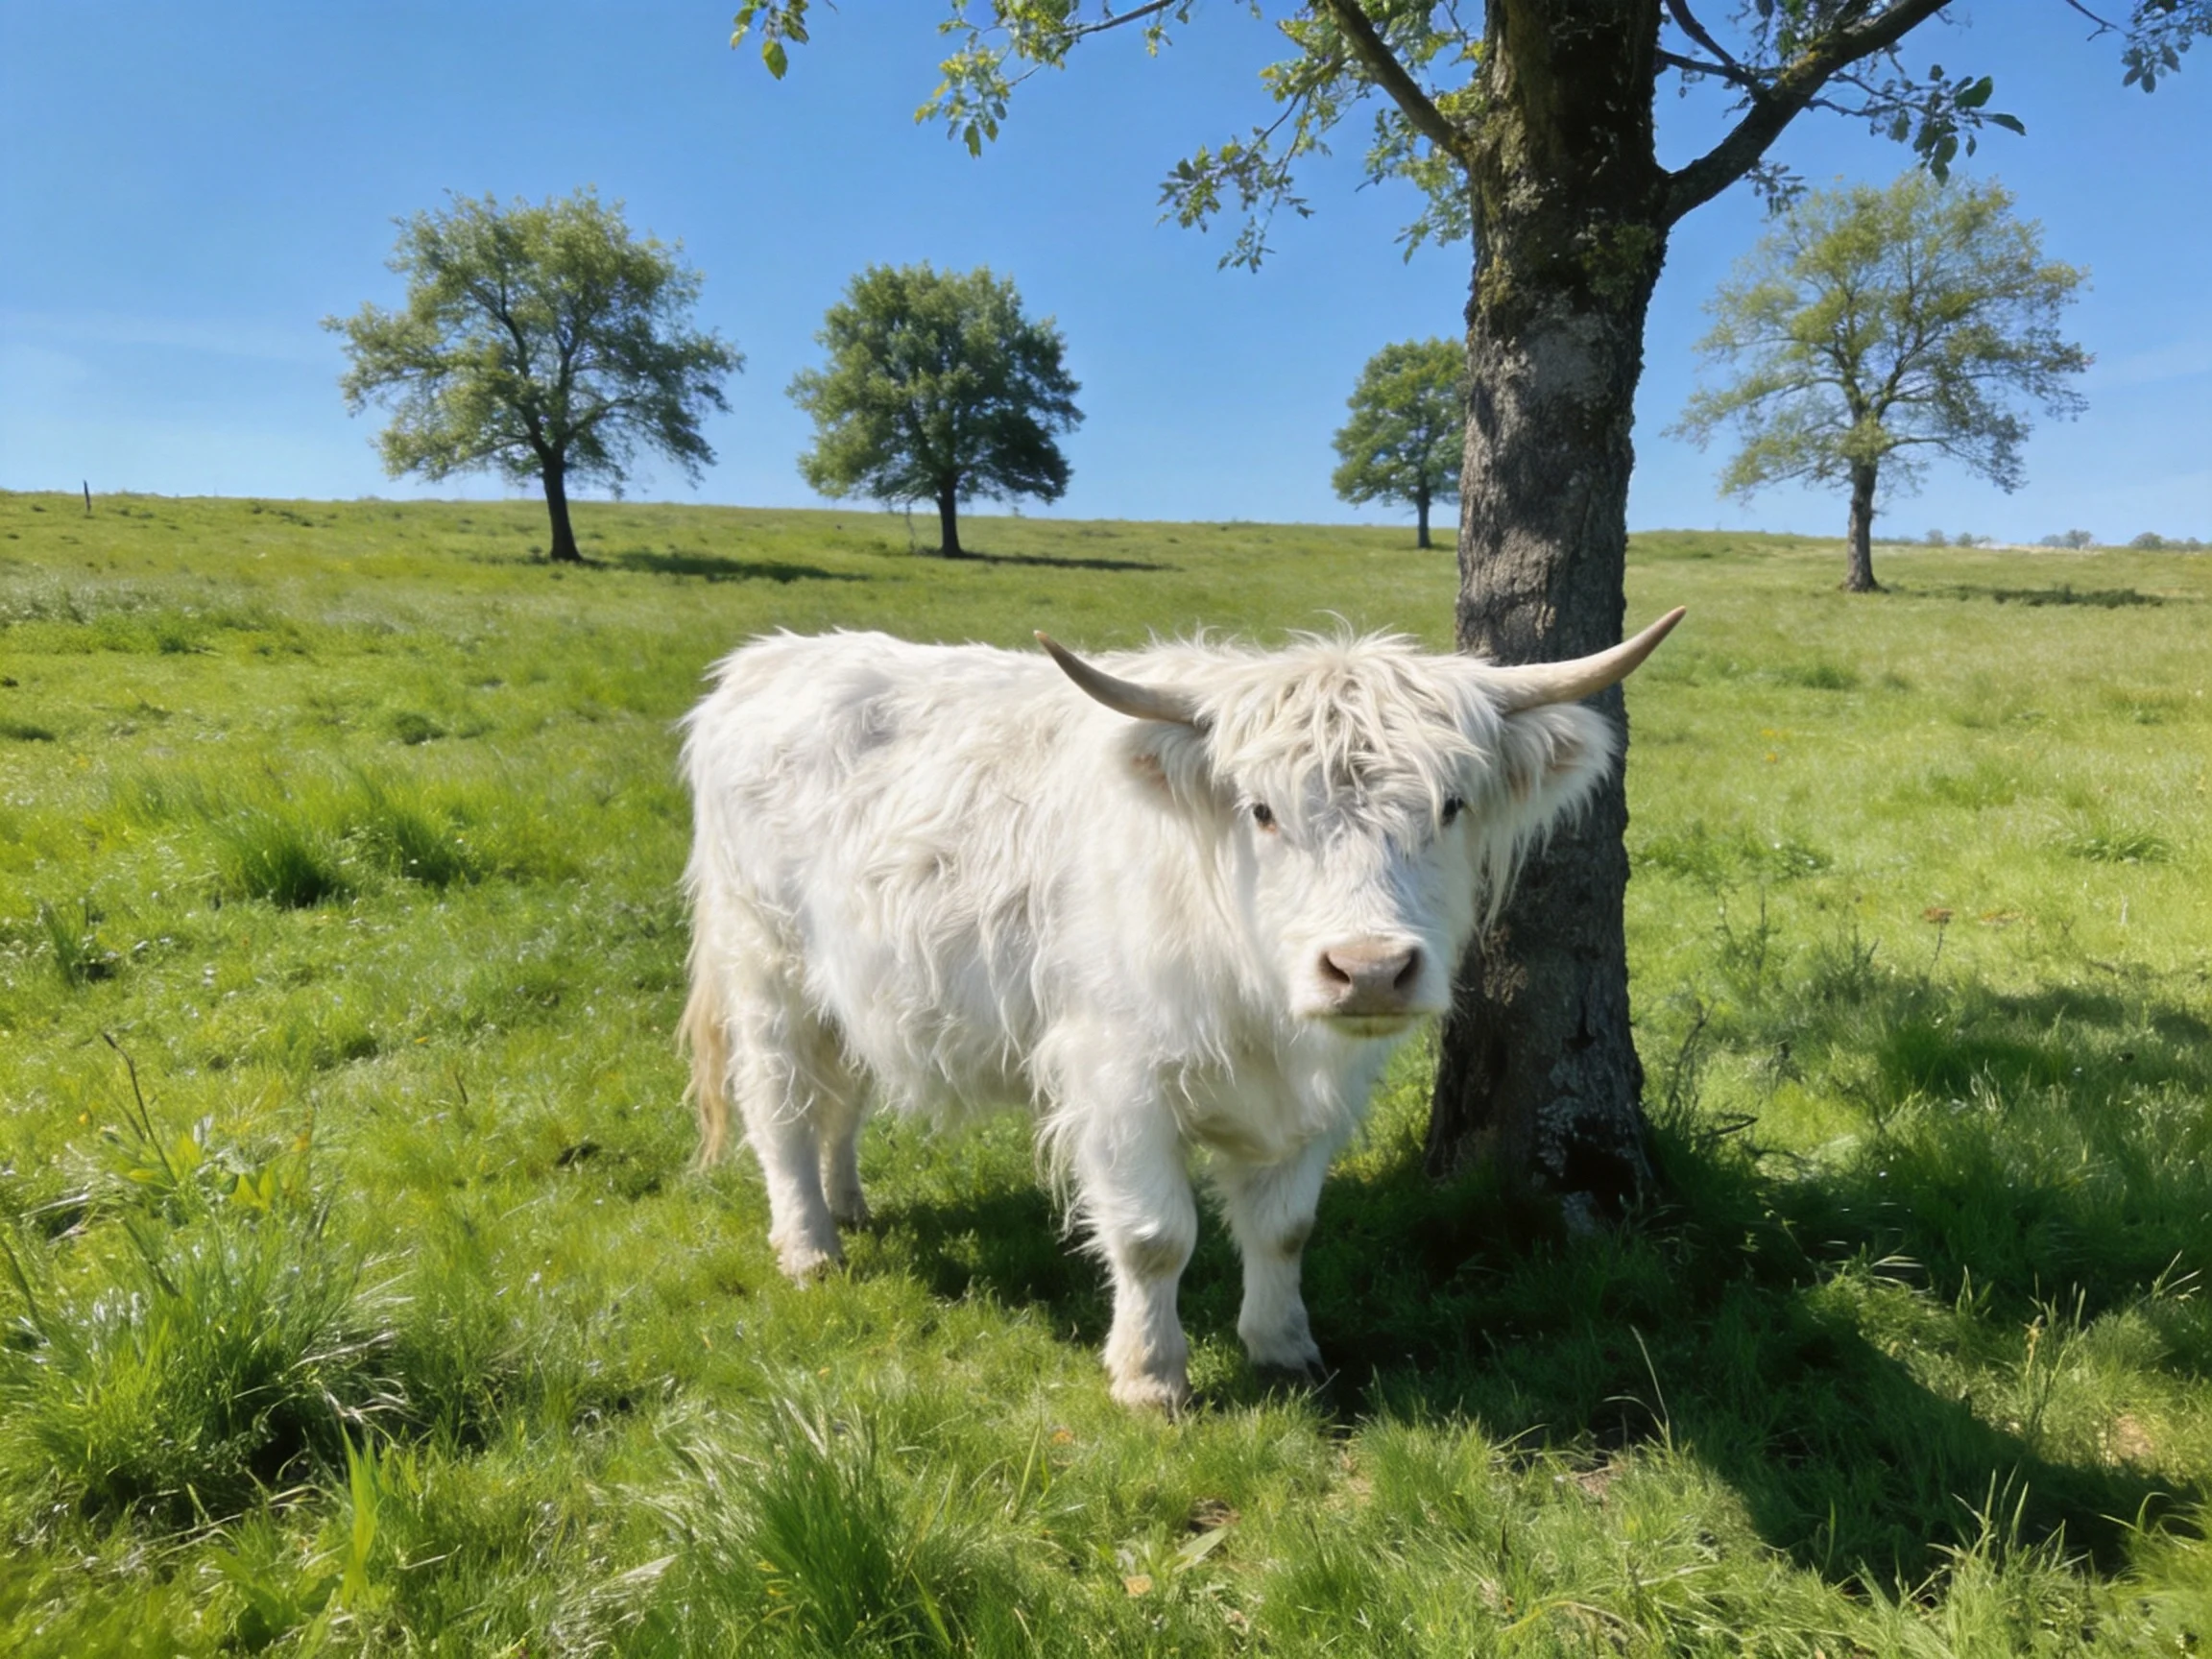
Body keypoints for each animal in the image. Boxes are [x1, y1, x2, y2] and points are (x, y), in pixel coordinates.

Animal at [679, 610, 1683, 1409]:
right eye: (1262, 811)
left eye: (1451, 804)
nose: (1367, 971)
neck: (1258, 1001)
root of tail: (771, 659)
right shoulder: (1116, 1080)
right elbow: (1154, 1237)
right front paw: (1151, 1376)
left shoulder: (1318, 1095)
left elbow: (1285, 1227)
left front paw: (1284, 1349)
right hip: (768, 969)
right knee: (781, 1108)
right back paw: (809, 1246)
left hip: (848, 988)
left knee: (841, 1097)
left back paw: (847, 1205)